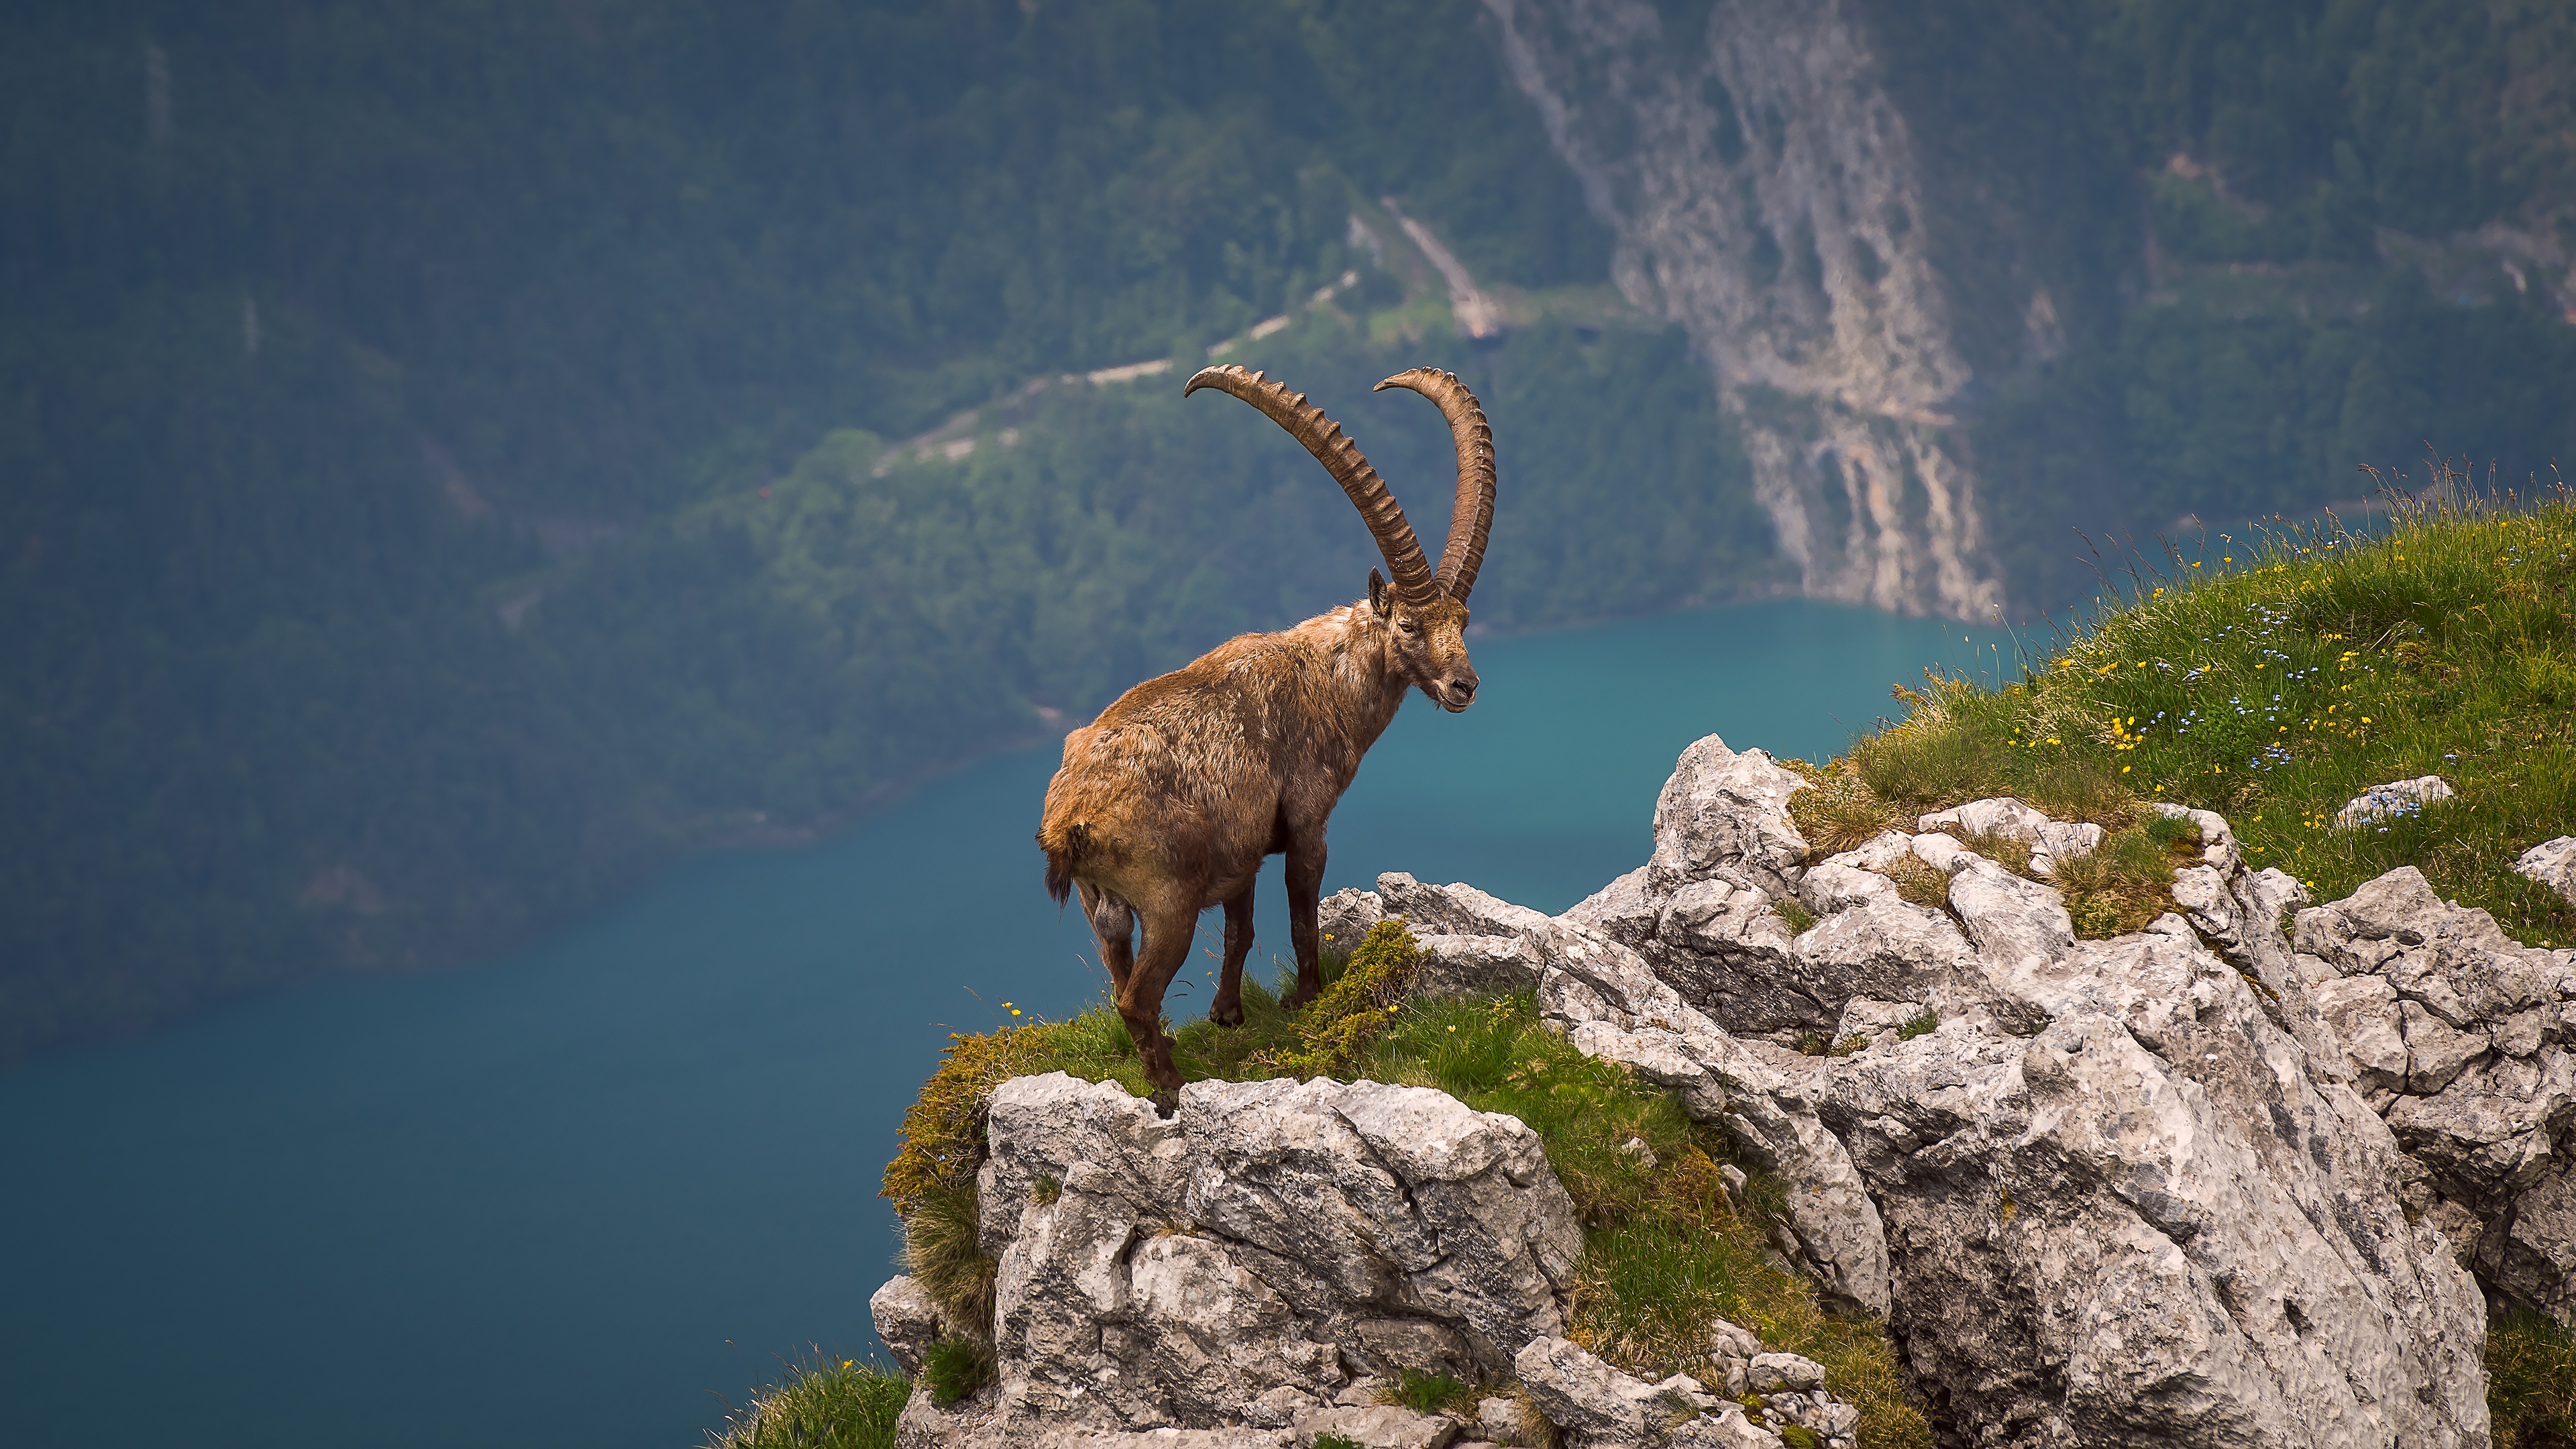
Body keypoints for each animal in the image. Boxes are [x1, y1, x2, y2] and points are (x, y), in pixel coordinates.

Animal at [1035, 363, 1504, 1093]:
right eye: (1408, 624)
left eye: (1463, 621)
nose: (1464, 686)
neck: (1325, 680)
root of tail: (1073, 820)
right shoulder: (1307, 821)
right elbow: (1302, 918)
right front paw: (1307, 999)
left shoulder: (1243, 852)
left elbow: (1242, 930)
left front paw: (1228, 1014)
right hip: (1167, 905)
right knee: (1136, 997)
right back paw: (1170, 1091)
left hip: (1100, 910)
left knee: (1120, 981)